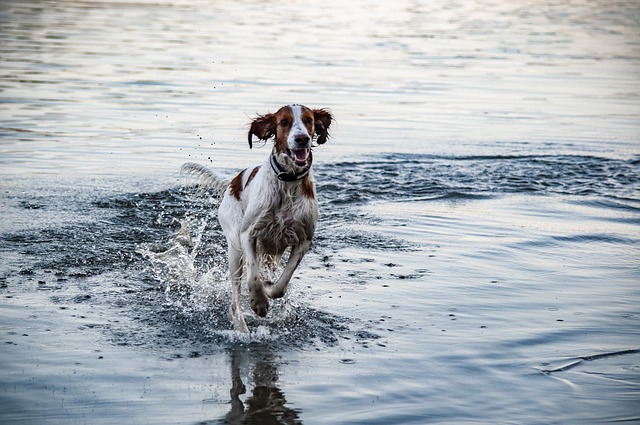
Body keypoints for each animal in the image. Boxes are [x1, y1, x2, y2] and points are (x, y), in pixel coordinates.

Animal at [179, 105, 330, 332]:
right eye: (283, 122)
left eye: (309, 120)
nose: (302, 139)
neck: (287, 185)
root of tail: (231, 183)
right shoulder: (248, 234)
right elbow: (253, 275)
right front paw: (259, 302)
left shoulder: (303, 239)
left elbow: (281, 285)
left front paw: (268, 290)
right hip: (234, 249)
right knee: (235, 300)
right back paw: (241, 327)